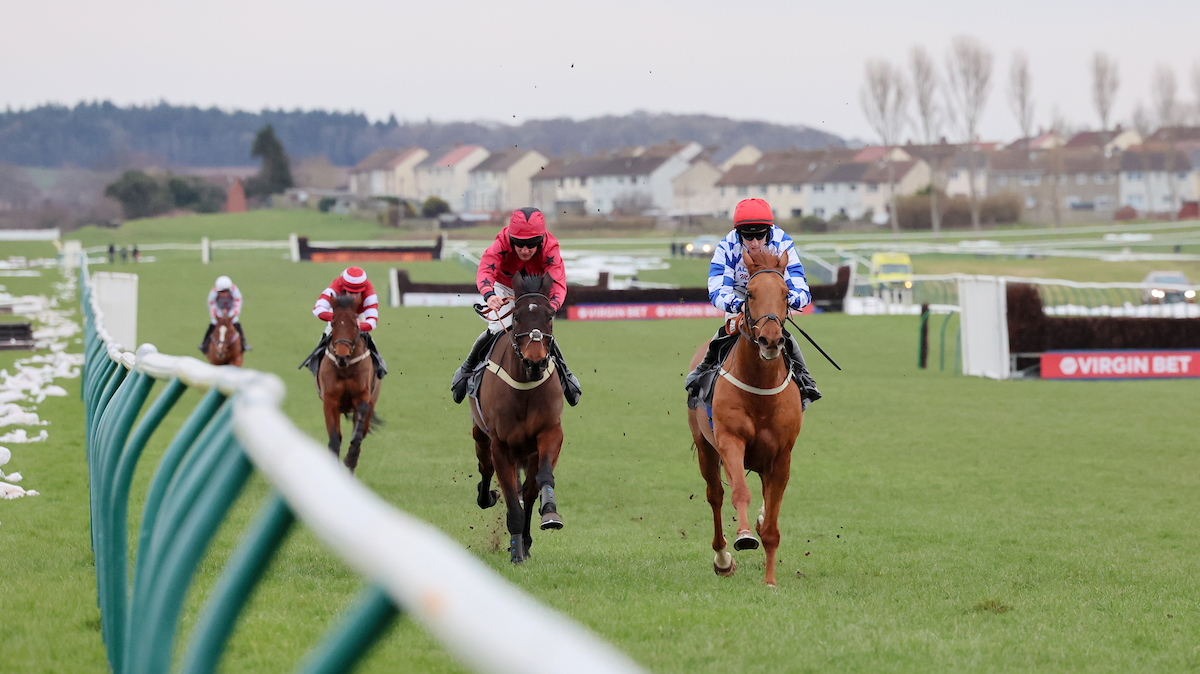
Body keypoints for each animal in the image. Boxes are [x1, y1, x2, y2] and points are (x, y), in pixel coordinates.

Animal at [319, 292, 379, 472]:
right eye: (333, 323)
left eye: (355, 324)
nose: (342, 357)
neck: (345, 369)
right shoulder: (330, 400)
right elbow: (334, 439)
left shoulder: (362, 395)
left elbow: (357, 437)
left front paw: (350, 458)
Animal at [470, 271, 564, 561]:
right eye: (518, 317)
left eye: (550, 315)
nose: (536, 362)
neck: (525, 388)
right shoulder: (501, 445)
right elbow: (512, 498)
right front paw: (515, 553)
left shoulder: (550, 432)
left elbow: (542, 480)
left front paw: (550, 514)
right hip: (480, 435)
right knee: (485, 468)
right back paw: (486, 497)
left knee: (531, 490)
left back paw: (528, 537)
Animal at [691, 249, 801, 585]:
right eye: (749, 293)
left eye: (786, 293)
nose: (771, 339)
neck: (760, 392)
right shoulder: (730, 441)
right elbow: (739, 491)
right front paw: (743, 536)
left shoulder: (781, 456)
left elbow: (772, 526)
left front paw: (770, 581)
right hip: (705, 446)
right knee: (715, 494)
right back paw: (723, 558)